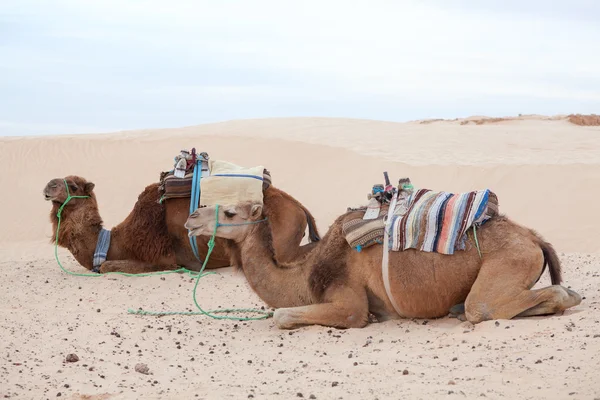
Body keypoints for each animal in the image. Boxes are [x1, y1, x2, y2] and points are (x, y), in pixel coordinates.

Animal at [44, 176, 322, 276]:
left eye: (73, 186)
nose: (49, 185)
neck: (112, 242)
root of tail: (299, 206)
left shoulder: (164, 259)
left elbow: (106, 267)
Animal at [185, 202, 584, 330]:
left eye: (230, 212)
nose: (191, 217)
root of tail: (534, 238)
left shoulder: (348, 302)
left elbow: (282, 315)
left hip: (508, 262)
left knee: (484, 306)